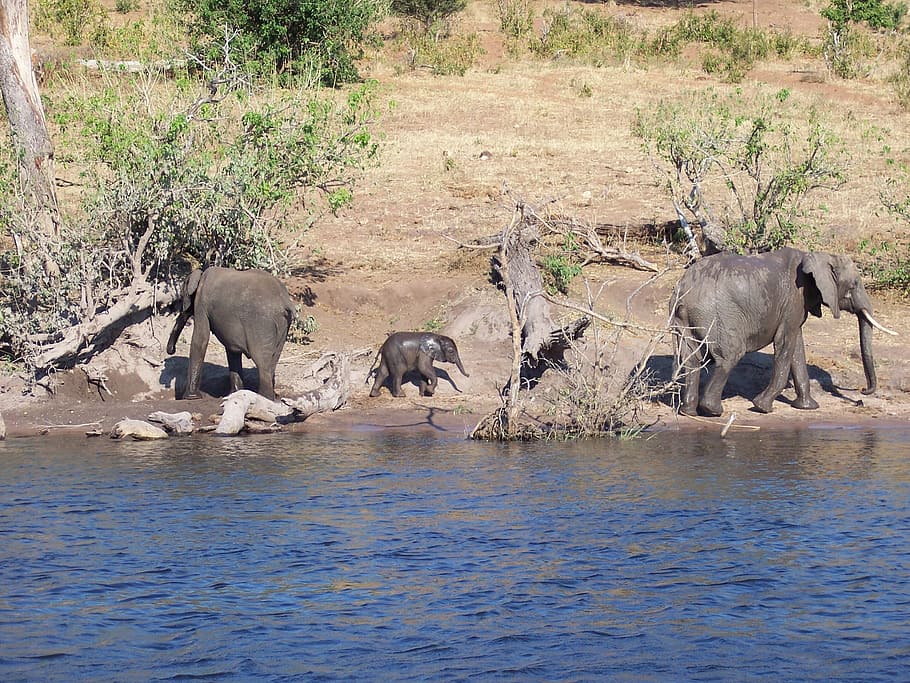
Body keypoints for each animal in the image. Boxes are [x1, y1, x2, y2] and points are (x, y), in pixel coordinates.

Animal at [166, 267, 296, 401]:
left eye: (182, 297)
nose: (172, 350)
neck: (200, 275)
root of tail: (285, 301)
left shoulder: (201, 304)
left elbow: (200, 339)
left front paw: (191, 398)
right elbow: (232, 349)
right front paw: (235, 393)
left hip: (262, 324)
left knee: (261, 361)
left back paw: (264, 397)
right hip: (283, 324)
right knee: (273, 359)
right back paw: (271, 397)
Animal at [670, 247, 895, 417]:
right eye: (855, 284)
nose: (863, 392)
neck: (816, 255)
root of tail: (684, 290)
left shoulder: (797, 306)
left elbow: (797, 349)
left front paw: (808, 407)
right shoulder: (793, 299)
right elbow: (785, 345)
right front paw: (762, 407)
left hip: (682, 319)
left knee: (690, 359)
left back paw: (689, 411)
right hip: (717, 315)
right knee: (730, 356)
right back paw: (713, 411)